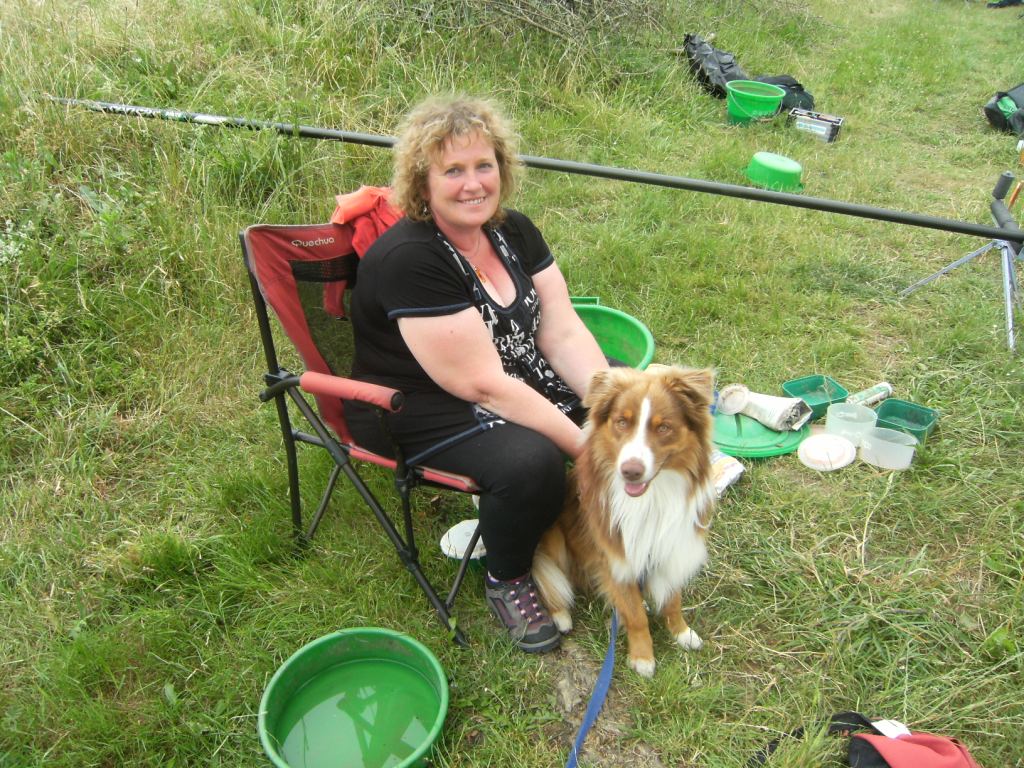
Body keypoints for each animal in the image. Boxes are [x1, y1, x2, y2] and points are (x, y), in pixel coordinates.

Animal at [536, 366, 712, 679]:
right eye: (622, 422)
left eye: (663, 427)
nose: (631, 471)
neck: (653, 499)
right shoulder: (616, 558)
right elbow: (635, 615)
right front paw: (642, 657)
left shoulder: (671, 545)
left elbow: (673, 599)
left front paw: (681, 632)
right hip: (552, 537)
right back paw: (560, 616)